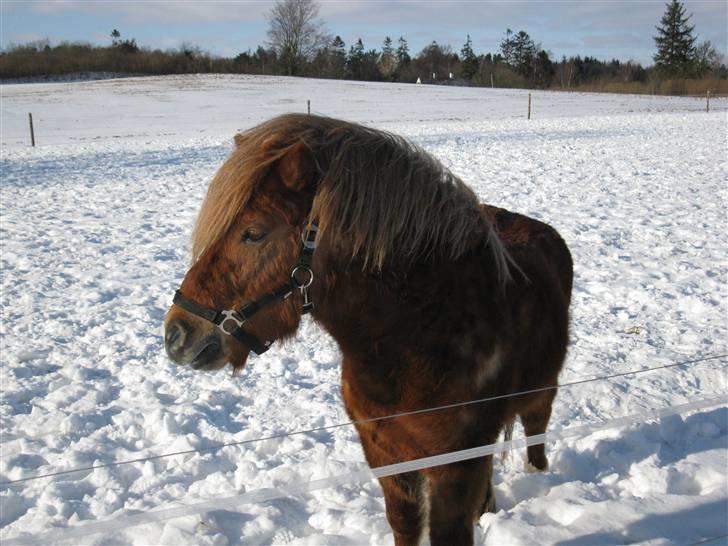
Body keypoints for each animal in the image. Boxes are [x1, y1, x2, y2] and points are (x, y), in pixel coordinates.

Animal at [165, 112, 576, 540]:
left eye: (253, 233)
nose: (176, 334)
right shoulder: (386, 458)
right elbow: (405, 526)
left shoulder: (456, 468)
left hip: (542, 393)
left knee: (536, 440)